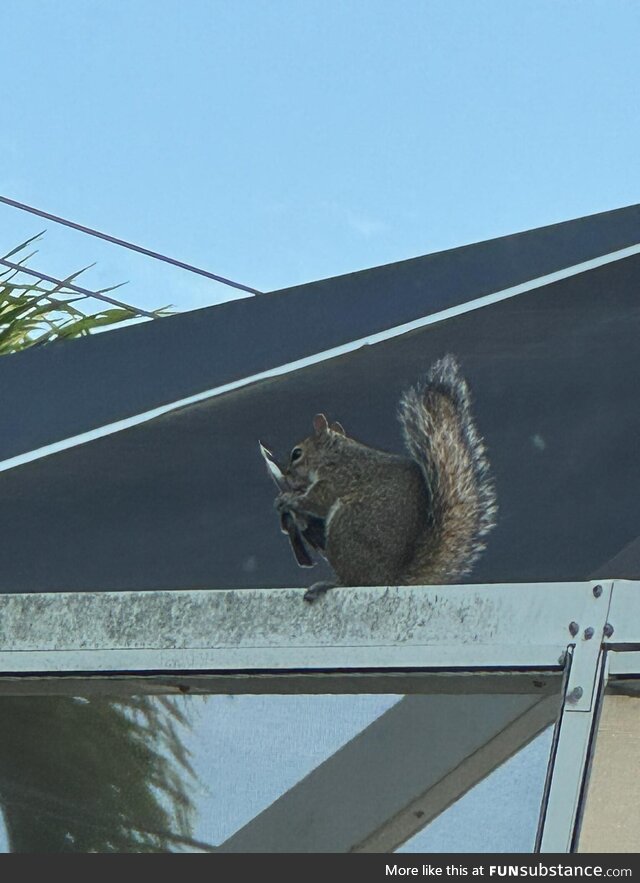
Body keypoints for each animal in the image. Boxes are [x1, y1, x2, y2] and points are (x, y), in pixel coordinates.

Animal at [268, 356, 498, 604]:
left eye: (296, 454)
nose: (287, 474)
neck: (335, 454)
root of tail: (388, 577)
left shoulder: (337, 477)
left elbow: (317, 501)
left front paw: (289, 499)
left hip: (346, 525)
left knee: (353, 581)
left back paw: (329, 583)